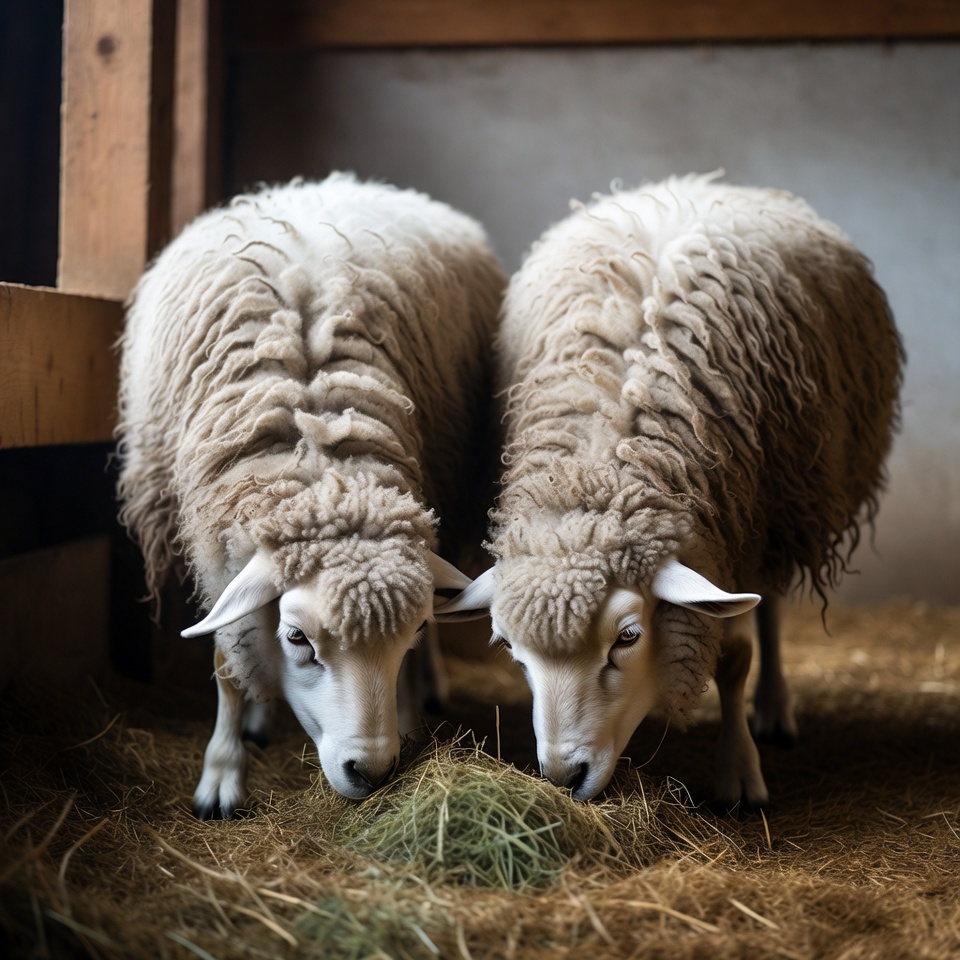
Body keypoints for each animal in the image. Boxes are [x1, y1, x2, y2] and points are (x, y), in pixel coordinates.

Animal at [117, 174, 505, 818]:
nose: (371, 772)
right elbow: (227, 660)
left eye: (411, 632)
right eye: (297, 638)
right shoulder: (219, 537)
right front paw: (222, 772)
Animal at [436, 173, 904, 809]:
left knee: (771, 611)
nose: (564, 778)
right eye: (510, 649)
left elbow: (736, 657)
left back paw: (774, 707)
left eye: (628, 637)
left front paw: (739, 772)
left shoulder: (741, 526)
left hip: (782, 512)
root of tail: (694, 183)